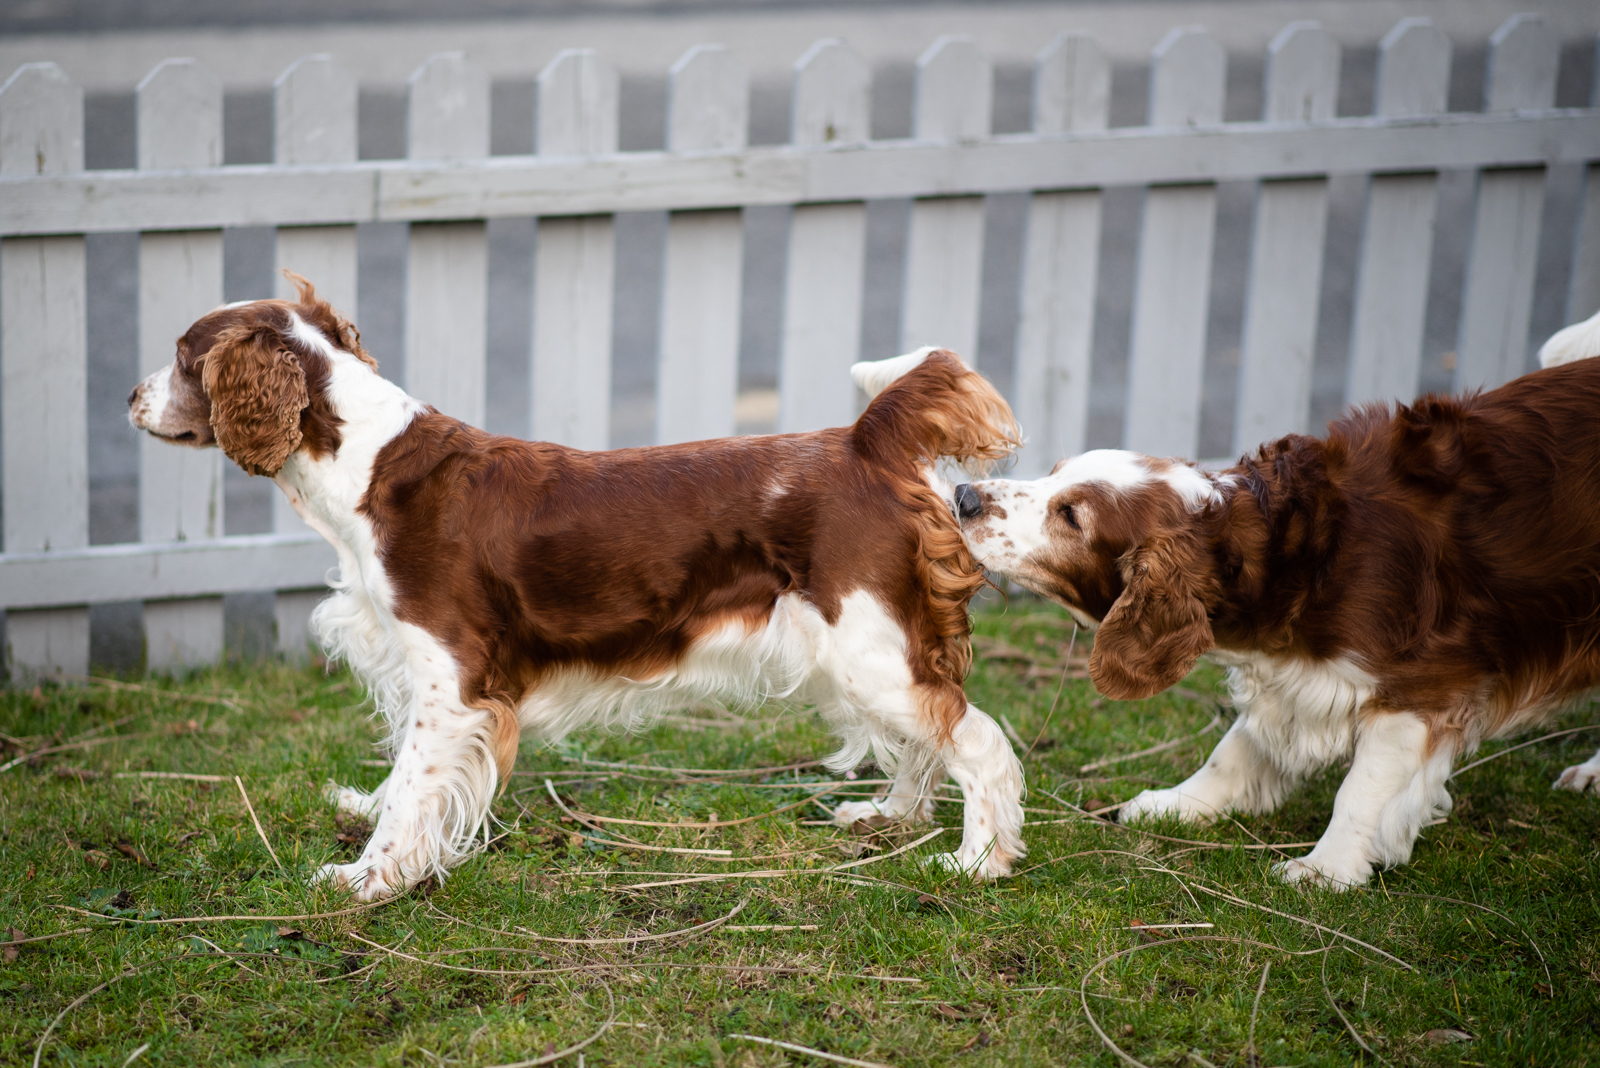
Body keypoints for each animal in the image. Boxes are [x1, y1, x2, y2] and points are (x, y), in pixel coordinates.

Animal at [128, 271, 1024, 895]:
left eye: (181, 357)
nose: (130, 395)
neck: (369, 461)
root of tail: (864, 441)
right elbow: (402, 777)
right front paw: (365, 812)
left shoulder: (452, 677)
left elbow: (416, 786)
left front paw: (365, 880)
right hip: (872, 650)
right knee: (931, 738)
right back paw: (890, 815)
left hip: (869, 648)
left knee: (977, 739)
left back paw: (978, 860)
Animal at [947, 303, 1600, 888]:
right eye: (1052, 473)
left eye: (1072, 516)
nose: (964, 496)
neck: (1287, 555)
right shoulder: (1294, 676)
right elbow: (1235, 750)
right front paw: (1175, 803)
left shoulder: (1424, 686)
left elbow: (1362, 787)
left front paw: (1326, 869)